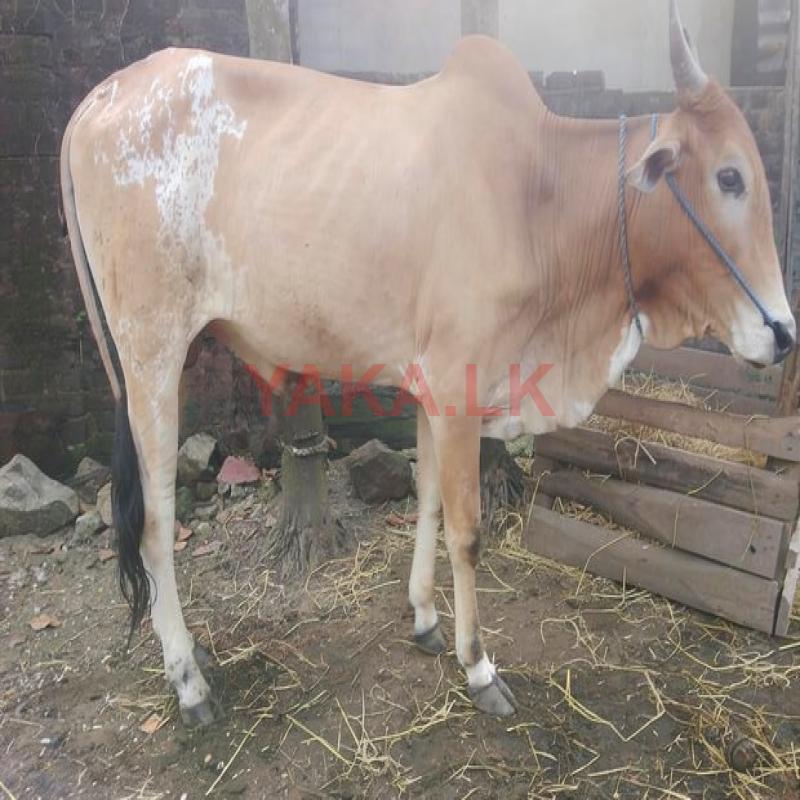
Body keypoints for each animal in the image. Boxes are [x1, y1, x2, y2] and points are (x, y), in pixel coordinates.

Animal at [61, 0, 795, 725]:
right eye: (730, 176)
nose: (784, 333)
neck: (539, 198)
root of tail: (98, 99)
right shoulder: (459, 389)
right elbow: (466, 532)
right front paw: (479, 666)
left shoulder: (430, 391)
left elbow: (428, 505)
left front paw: (423, 619)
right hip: (151, 357)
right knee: (155, 524)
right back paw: (188, 681)